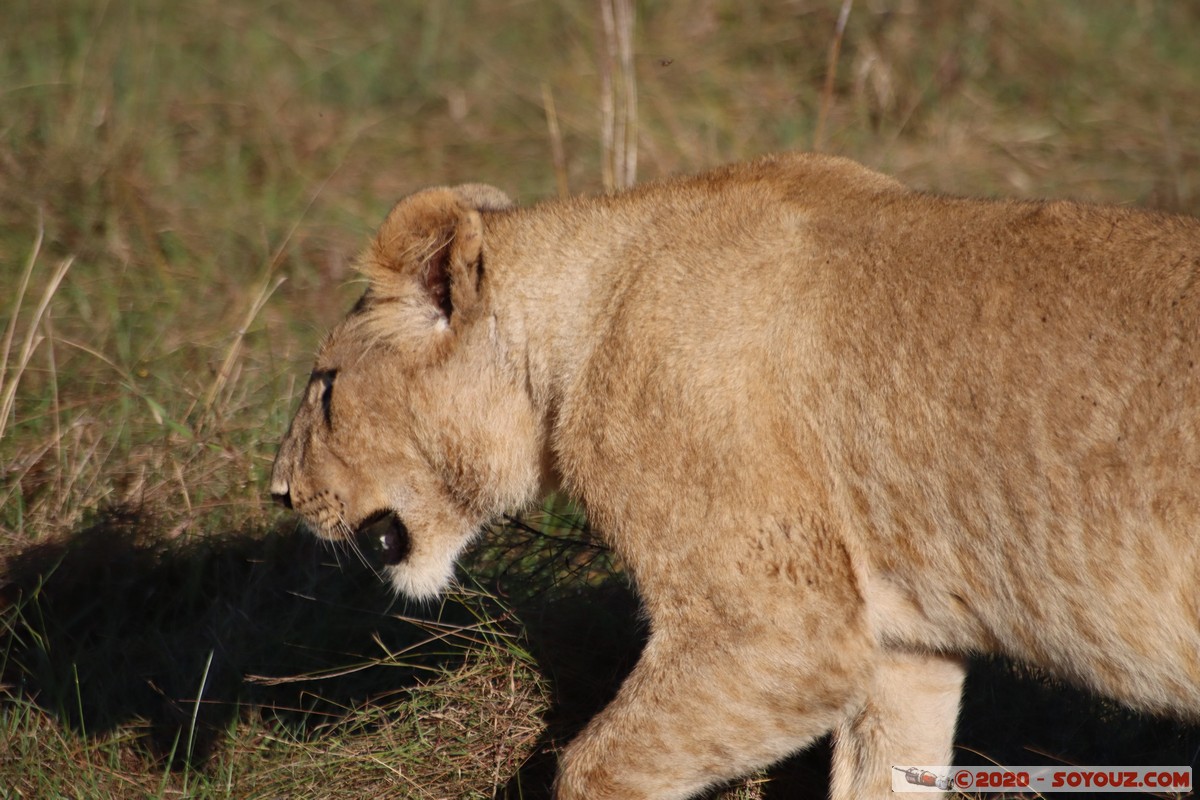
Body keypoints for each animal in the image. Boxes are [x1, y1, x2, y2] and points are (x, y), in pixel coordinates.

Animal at [272, 153, 1200, 796]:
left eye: (325, 390)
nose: (278, 493)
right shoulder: (900, 642)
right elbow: (884, 766)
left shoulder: (781, 628)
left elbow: (597, 766)